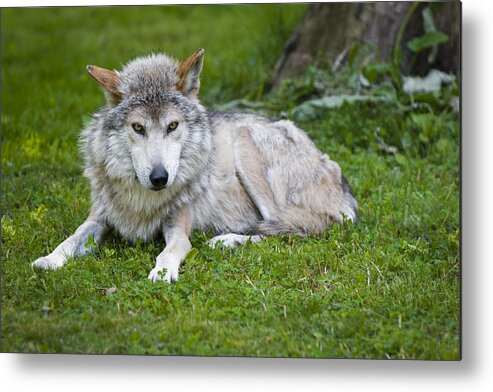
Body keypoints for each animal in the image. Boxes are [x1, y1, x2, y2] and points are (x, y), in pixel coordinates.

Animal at [33, 49, 358, 284]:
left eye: (172, 126)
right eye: (138, 127)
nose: (160, 178)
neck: (142, 200)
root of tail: (341, 179)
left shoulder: (179, 227)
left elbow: (170, 252)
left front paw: (163, 272)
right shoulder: (99, 218)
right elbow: (70, 239)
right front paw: (48, 260)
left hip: (245, 142)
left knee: (293, 229)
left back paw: (228, 240)